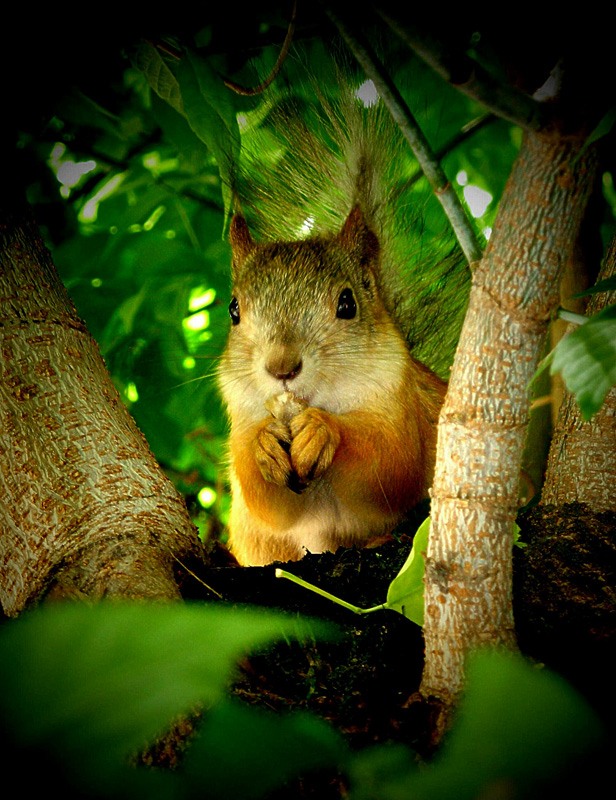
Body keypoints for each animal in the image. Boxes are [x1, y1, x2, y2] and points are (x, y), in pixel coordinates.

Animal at [217, 75, 466, 564]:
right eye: (234, 310)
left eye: (347, 304)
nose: (282, 369)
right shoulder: (242, 416)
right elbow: (264, 500)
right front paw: (263, 446)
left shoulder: (401, 405)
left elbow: (389, 464)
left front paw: (323, 430)